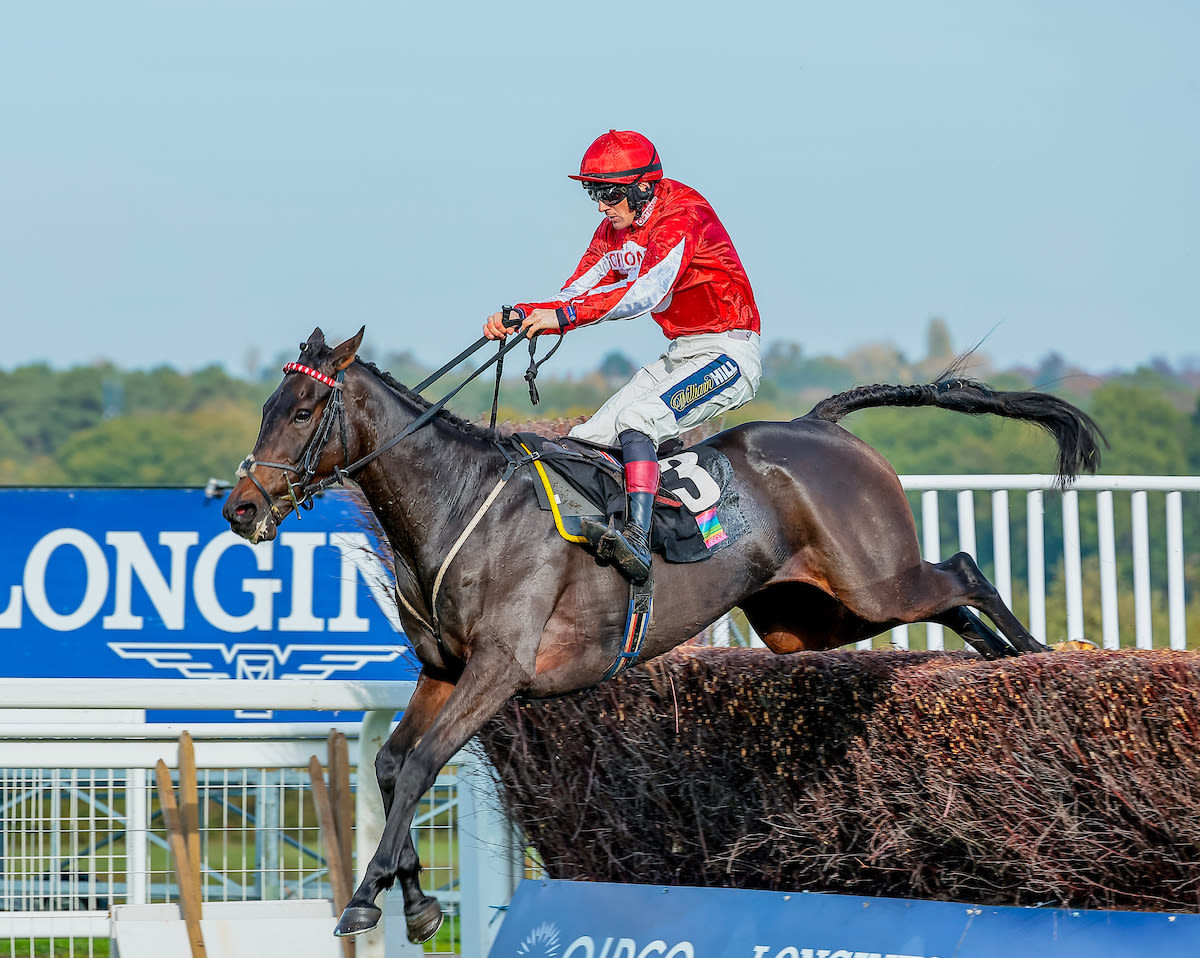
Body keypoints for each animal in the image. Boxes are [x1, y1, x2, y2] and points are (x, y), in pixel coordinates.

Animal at [220, 326, 1099, 941]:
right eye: (264, 411)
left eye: (303, 412)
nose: (240, 508)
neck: (460, 501)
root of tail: (820, 423)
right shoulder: (442, 669)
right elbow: (393, 765)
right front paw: (414, 901)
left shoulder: (500, 669)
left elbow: (422, 765)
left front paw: (367, 899)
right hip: (813, 620)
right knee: (947, 602)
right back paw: (1008, 660)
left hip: (873, 583)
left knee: (965, 570)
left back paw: (1043, 660)